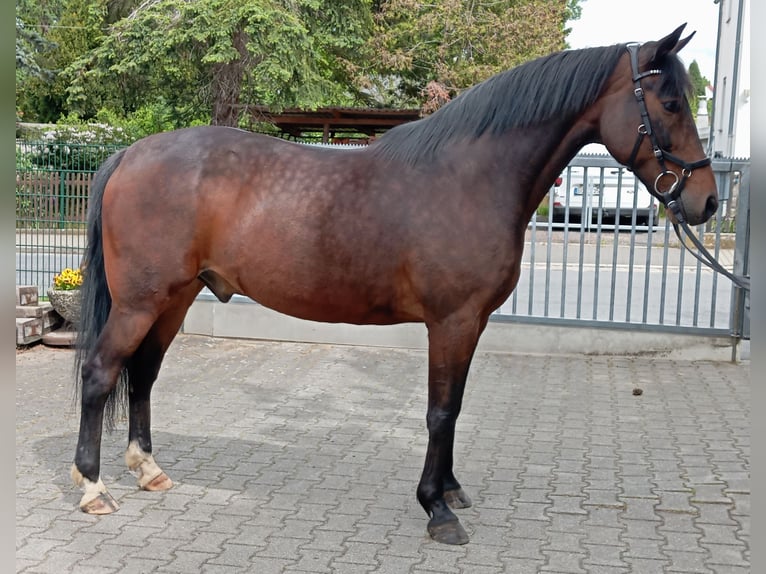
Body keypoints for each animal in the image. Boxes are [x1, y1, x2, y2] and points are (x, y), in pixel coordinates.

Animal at [70, 24, 717, 545]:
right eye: (667, 102)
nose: (707, 202)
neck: (469, 177)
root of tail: (129, 154)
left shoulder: (471, 323)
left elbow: (455, 407)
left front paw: (450, 490)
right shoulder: (451, 321)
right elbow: (439, 411)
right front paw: (437, 510)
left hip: (174, 300)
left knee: (144, 374)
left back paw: (149, 471)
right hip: (139, 302)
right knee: (101, 373)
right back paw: (93, 488)